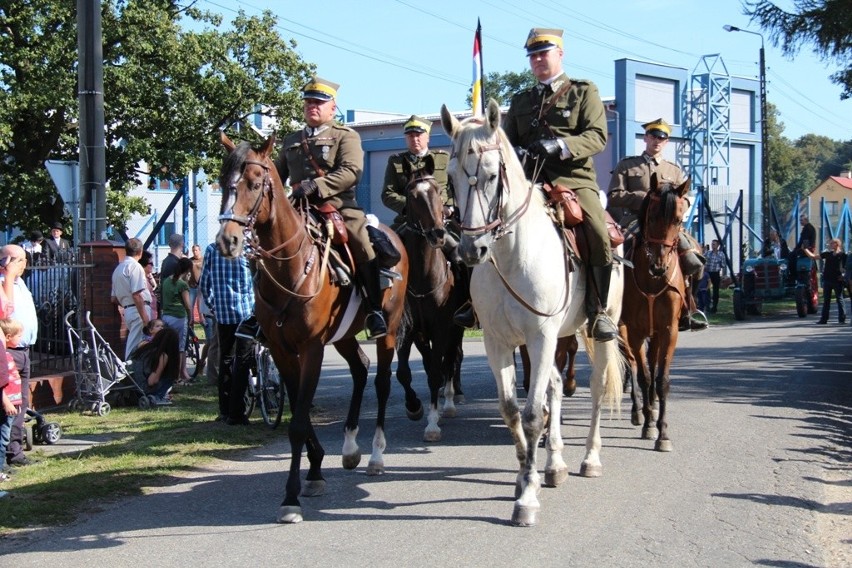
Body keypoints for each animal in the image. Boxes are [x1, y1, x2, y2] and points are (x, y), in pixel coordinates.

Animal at [216, 133, 410, 524]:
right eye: (221, 181)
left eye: (254, 183)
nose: (227, 241)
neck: (289, 266)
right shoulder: (281, 350)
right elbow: (299, 413)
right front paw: (316, 469)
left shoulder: (311, 348)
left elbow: (298, 422)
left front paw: (291, 498)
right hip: (346, 337)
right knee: (360, 369)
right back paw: (350, 448)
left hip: (388, 331)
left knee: (381, 383)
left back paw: (376, 456)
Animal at [392, 160, 466, 444]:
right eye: (412, 196)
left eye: (437, 191)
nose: (437, 234)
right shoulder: (407, 329)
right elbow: (404, 372)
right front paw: (414, 407)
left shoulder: (443, 327)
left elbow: (436, 370)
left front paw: (433, 424)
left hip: (456, 328)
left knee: (452, 359)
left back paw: (450, 402)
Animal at [442, 98, 624, 528]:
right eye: (451, 178)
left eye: (492, 175)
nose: (471, 250)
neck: (511, 256)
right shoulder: (499, 342)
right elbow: (512, 412)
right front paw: (530, 476)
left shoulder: (540, 338)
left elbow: (531, 416)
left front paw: (526, 497)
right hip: (558, 337)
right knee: (555, 386)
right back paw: (555, 464)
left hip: (595, 330)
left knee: (594, 390)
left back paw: (590, 458)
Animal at [620, 174, 692, 452]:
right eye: (651, 218)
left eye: (678, 220)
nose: (659, 267)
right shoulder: (635, 332)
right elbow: (644, 377)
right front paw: (650, 424)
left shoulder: (669, 331)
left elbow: (661, 380)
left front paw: (663, 433)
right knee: (633, 366)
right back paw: (640, 412)